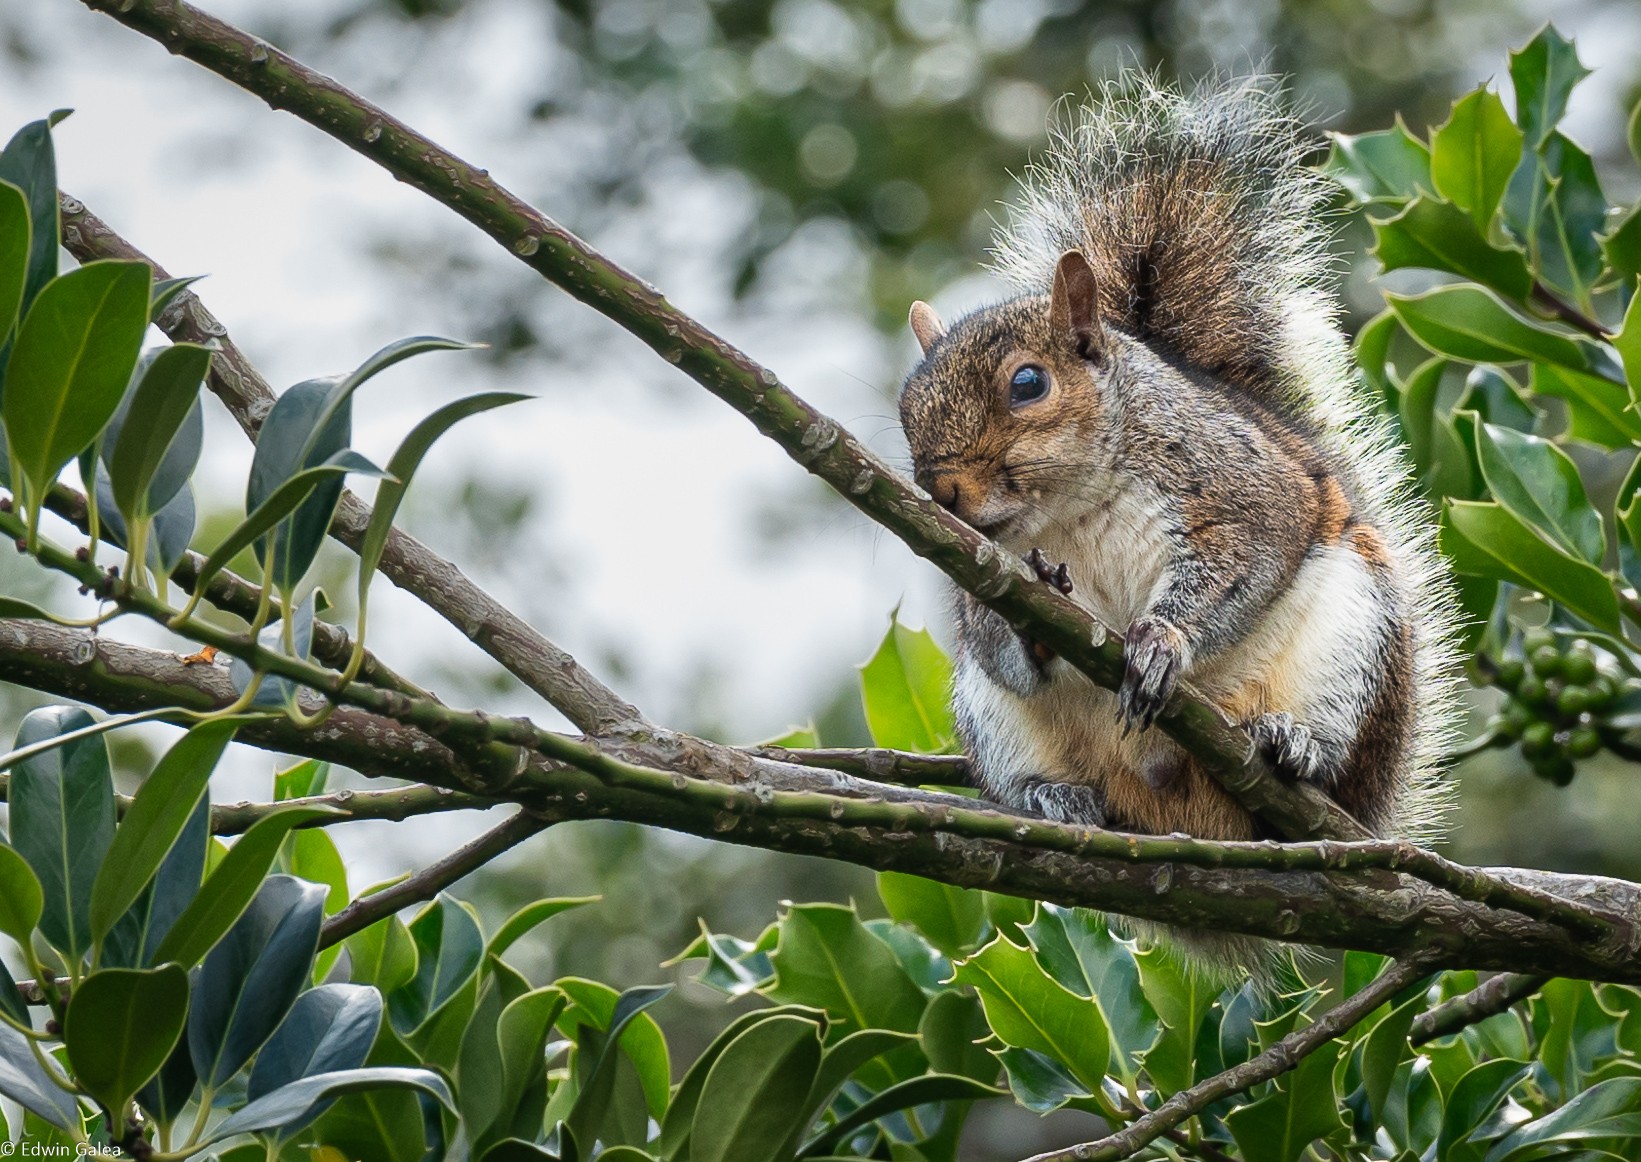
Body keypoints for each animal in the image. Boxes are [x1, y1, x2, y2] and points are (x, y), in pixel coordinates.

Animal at [899, 77, 1463, 978]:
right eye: (905, 405)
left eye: (1027, 383)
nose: (941, 491)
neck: (1071, 507)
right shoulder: (975, 576)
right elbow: (992, 638)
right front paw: (1035, 630)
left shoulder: (1241, 488)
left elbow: (1248, 557)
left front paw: (1163, 642)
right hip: (989, 718)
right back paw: (1051, 797)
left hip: (1356, 637)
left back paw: (1297, 748)